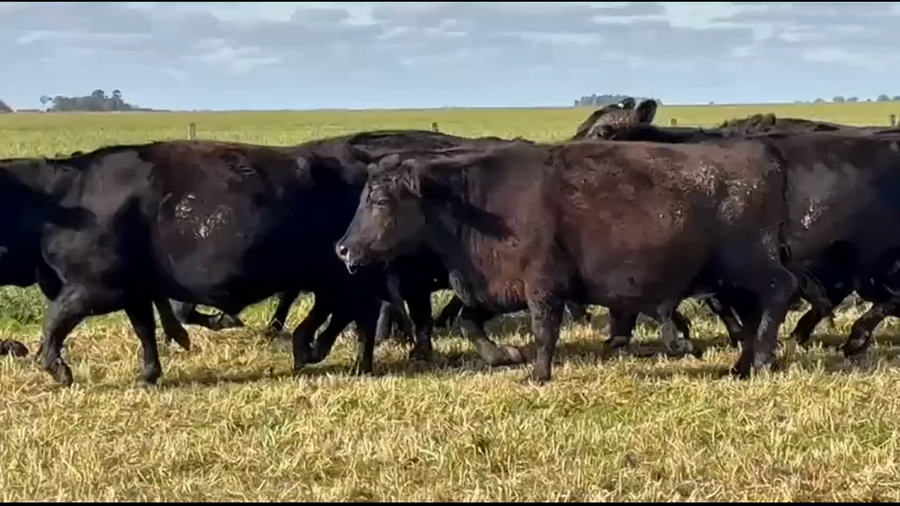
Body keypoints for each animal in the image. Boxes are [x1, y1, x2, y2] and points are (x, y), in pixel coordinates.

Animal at [335, 138, 800, 384]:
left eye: (379, 199)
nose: (342, 248)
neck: (481, 203)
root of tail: (758, 154)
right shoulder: (496, 289)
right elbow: (469, 322)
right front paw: (505, 355)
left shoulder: (543, 287)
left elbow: (545, 332)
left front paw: (538, 374)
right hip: (730, 279)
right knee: (752, 314)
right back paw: (742, 364)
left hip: (750, 266)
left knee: (779, 293)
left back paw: (760, 359)